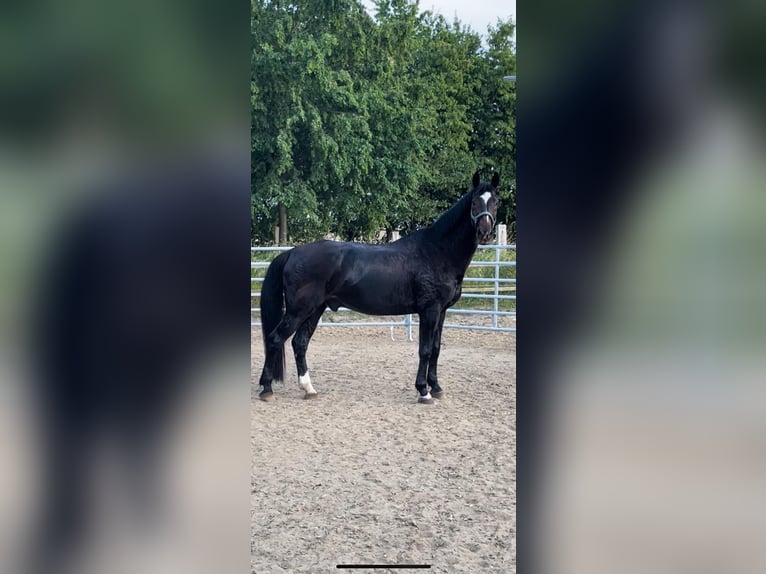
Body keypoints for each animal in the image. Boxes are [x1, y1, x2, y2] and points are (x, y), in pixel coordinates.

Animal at [260, 172, 500, 404]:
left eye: (495, 202)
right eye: (474, 203)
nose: (485, 232)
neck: (437, 252)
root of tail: (292, 252)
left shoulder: (441, 311)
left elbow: (436, 349)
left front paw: (437, 387)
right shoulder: (429, 310)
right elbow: (424, 350)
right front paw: (423, 391)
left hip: (315, 309)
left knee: (299, 343)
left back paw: (308, 388)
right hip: (298, 311)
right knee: (275, 339)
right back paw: (267, 389)